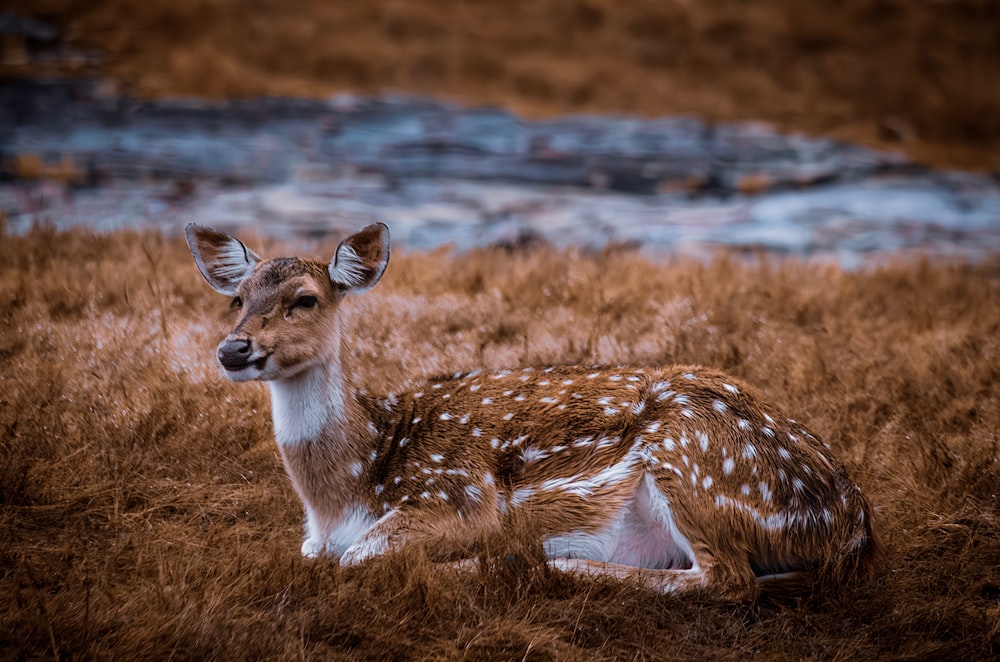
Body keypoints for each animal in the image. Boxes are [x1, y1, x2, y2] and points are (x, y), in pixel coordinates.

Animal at [186, 223, 876, 600]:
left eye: (305, 299)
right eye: (237, 299)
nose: (233, 349)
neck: (351, 485)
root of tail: (853, 529)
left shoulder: (458, 496)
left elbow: (359, 557)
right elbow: (318, 555)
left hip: (694, 459)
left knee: (727, 580)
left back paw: (534, 563)